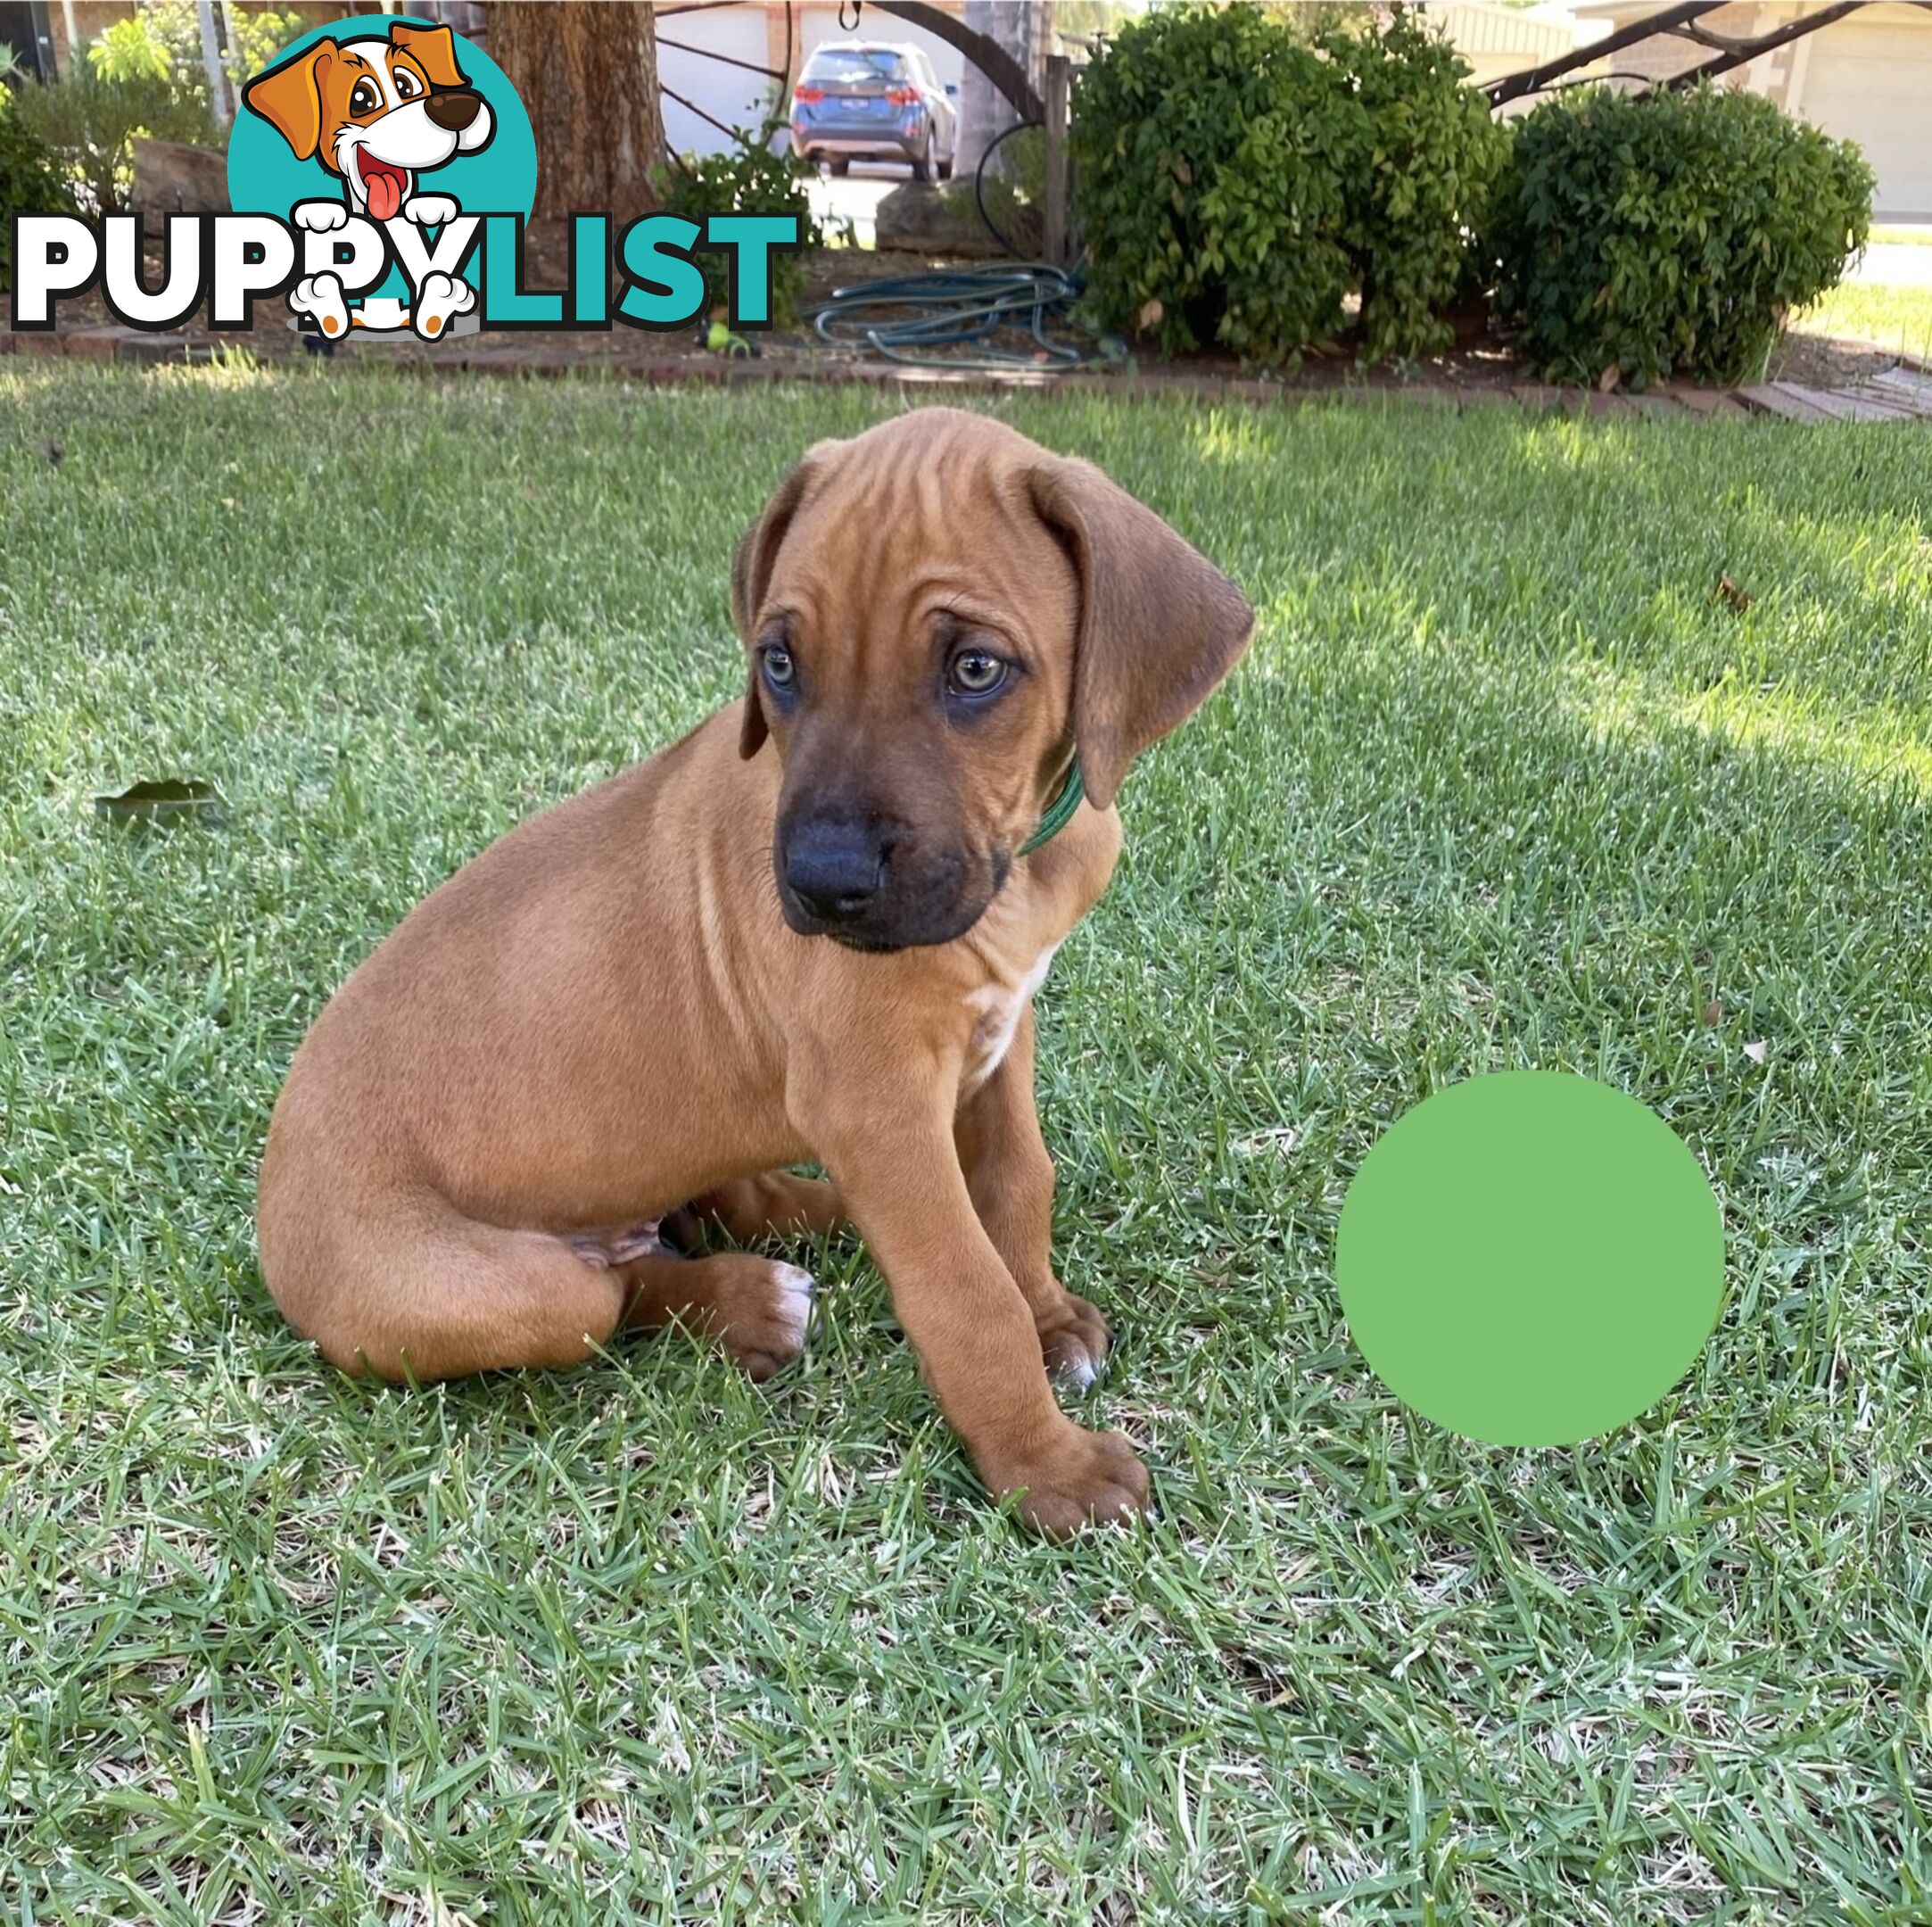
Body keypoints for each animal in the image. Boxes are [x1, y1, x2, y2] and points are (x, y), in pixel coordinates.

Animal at [257, 405, 1251, 1530]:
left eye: (975, 670)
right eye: (779, 662)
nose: (823, 885)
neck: (1019, 871)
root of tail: (271, 1186)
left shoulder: (999, 1035)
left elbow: (1012, 1185)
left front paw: (1044, 1314)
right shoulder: (875, 1101)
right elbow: (964, 1289)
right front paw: (1047, 1467)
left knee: (711, 1209)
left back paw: (810, 1228)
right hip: (497, 1289)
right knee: (613, 1291)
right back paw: (751, 1300)